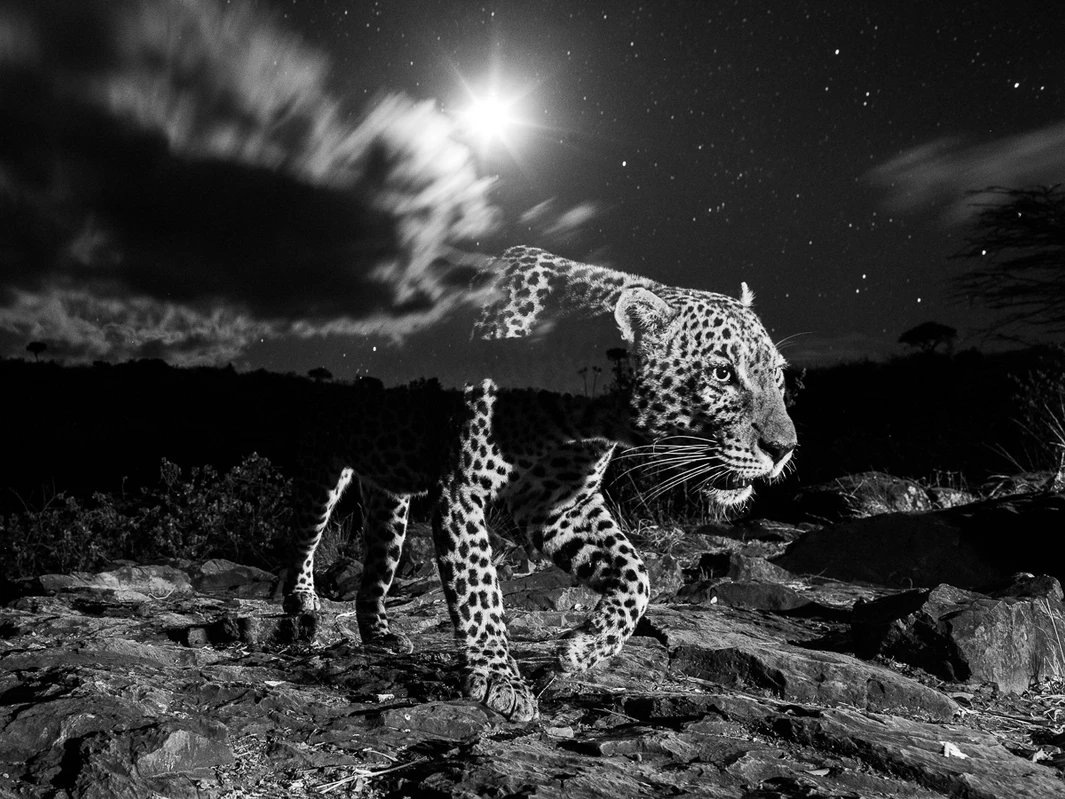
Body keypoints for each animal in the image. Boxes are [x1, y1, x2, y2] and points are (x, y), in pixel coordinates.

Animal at [279, 247, 796, 724]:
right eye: (722, 373)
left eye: (777, 374)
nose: (785, 447)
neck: (589, 411)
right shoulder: (463, 489)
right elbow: (480, 588)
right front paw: (498, 678)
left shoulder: (558, 504)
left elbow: (636, 574)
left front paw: (583, 649)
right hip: (323, 466)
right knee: (302, 536)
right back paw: (301, 606)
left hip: (390, 495)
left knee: (378, 563)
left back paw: (380, 635)